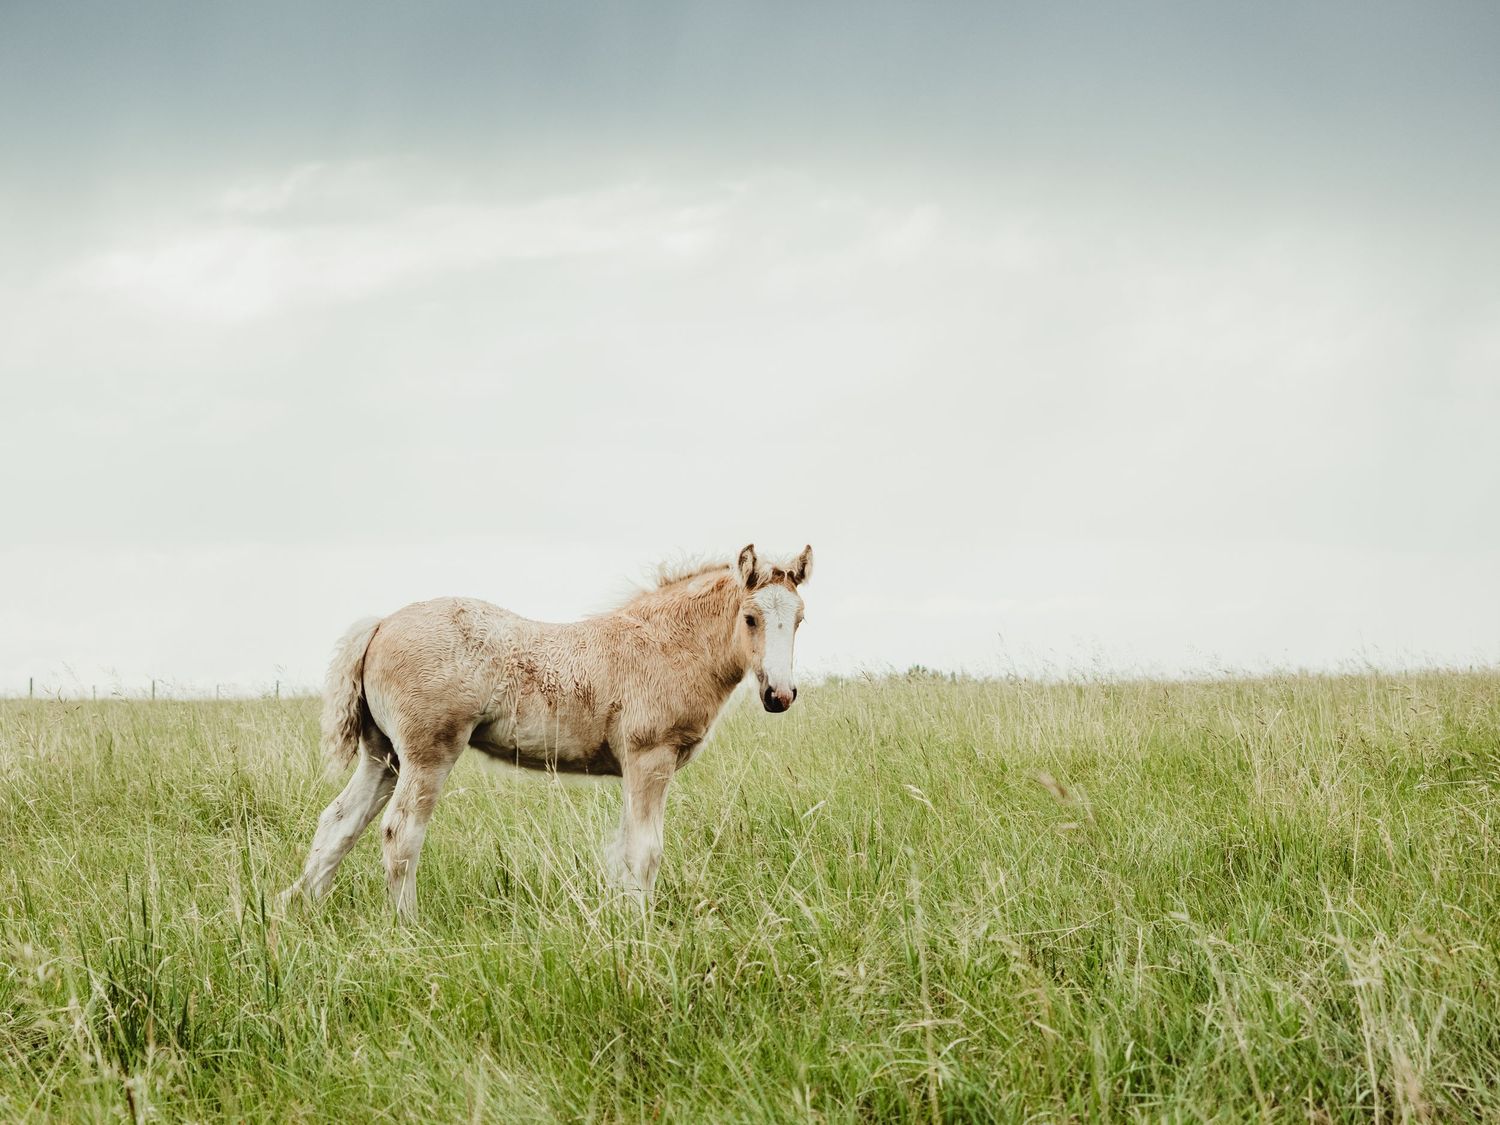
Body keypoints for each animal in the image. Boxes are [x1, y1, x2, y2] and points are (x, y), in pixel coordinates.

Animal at [280, 543, 813, 918]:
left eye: (800, 620)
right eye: (751, 617)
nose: (779, 696)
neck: (664, 645)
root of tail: (381, 624)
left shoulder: (633, 770)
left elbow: (622, 852)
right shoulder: (650, 759)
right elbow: (645, 853)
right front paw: (642, 930)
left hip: (383, 755)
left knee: (338, 823)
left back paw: (297, 910)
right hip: (428, 754)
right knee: (400, 833)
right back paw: (408, 926)